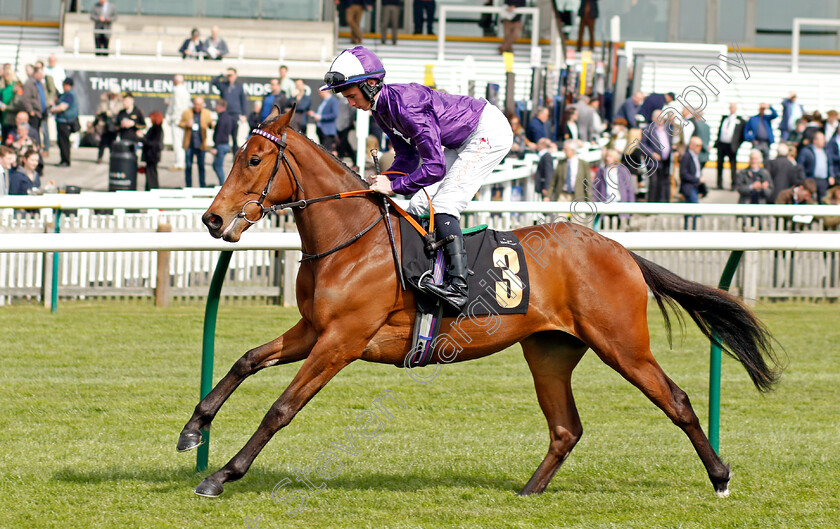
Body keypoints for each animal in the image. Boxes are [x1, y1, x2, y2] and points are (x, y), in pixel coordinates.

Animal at [177, 104, 780, 500]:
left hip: (624, 345)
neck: (352, 239)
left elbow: (281, 408)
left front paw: (221, 475)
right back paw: (530, 491)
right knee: (566, 428)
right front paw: (192, 430)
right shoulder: (312, 330)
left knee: (676, 400)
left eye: (255, 159)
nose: (211, 218)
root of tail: (620, 250)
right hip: (549, 351)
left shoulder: (342, 339)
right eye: (238, 156)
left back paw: (720, 477)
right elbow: (245, 361)